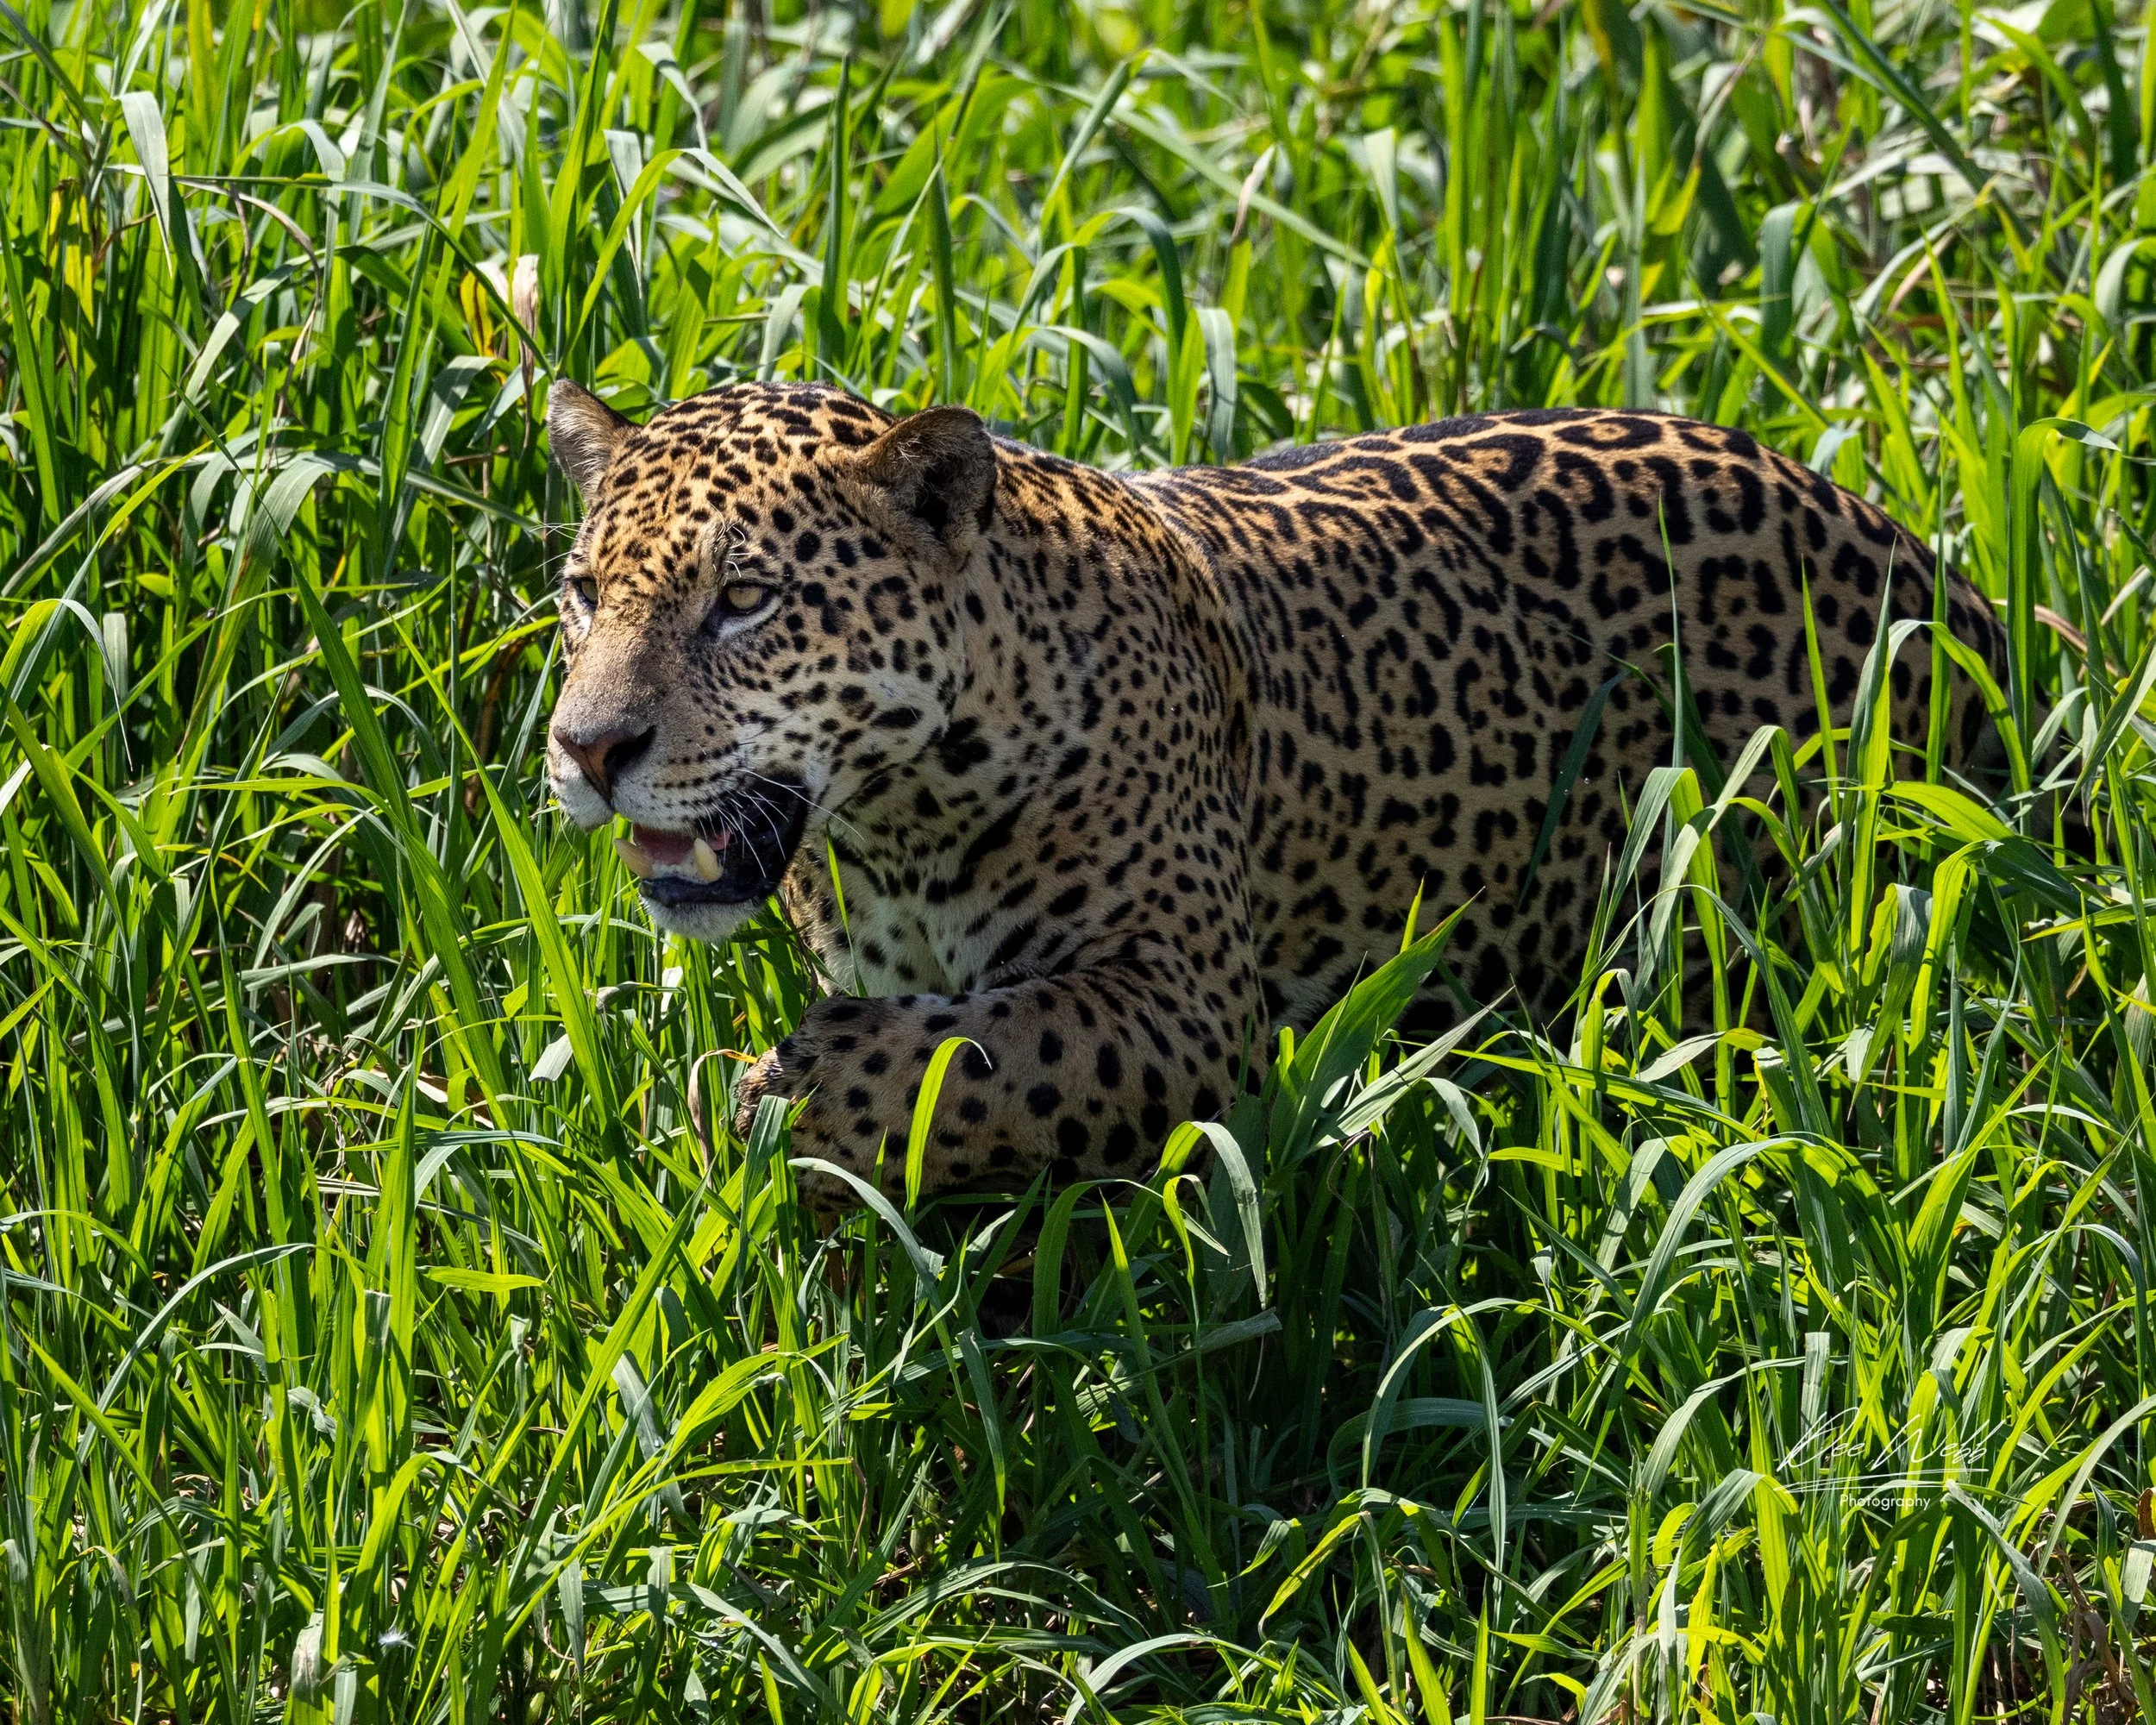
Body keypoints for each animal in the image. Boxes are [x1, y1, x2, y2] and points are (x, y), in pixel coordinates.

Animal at [543, 378, 2004, 1207]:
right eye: (583, 594)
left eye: (746, 600)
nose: (588, 750)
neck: (895, 828)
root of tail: (1923, 558)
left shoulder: (1186, 1001)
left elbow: (973, 1057)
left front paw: (767, 1096)